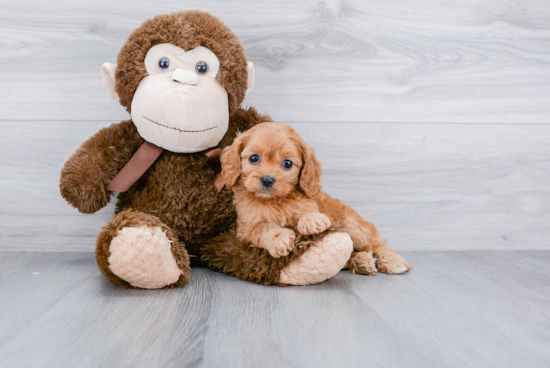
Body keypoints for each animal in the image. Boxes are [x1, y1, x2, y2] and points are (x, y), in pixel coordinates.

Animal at [221, 122, 414, 274]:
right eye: (254, 158)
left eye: (287, 164)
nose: (267, 180)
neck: (277, 201)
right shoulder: (245, 230)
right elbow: (262, 228)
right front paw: (279, 238)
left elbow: (308, 211)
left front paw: (312, 220)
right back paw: (362, 262)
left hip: (353, 227)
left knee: (376, 244)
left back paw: (393, 261)